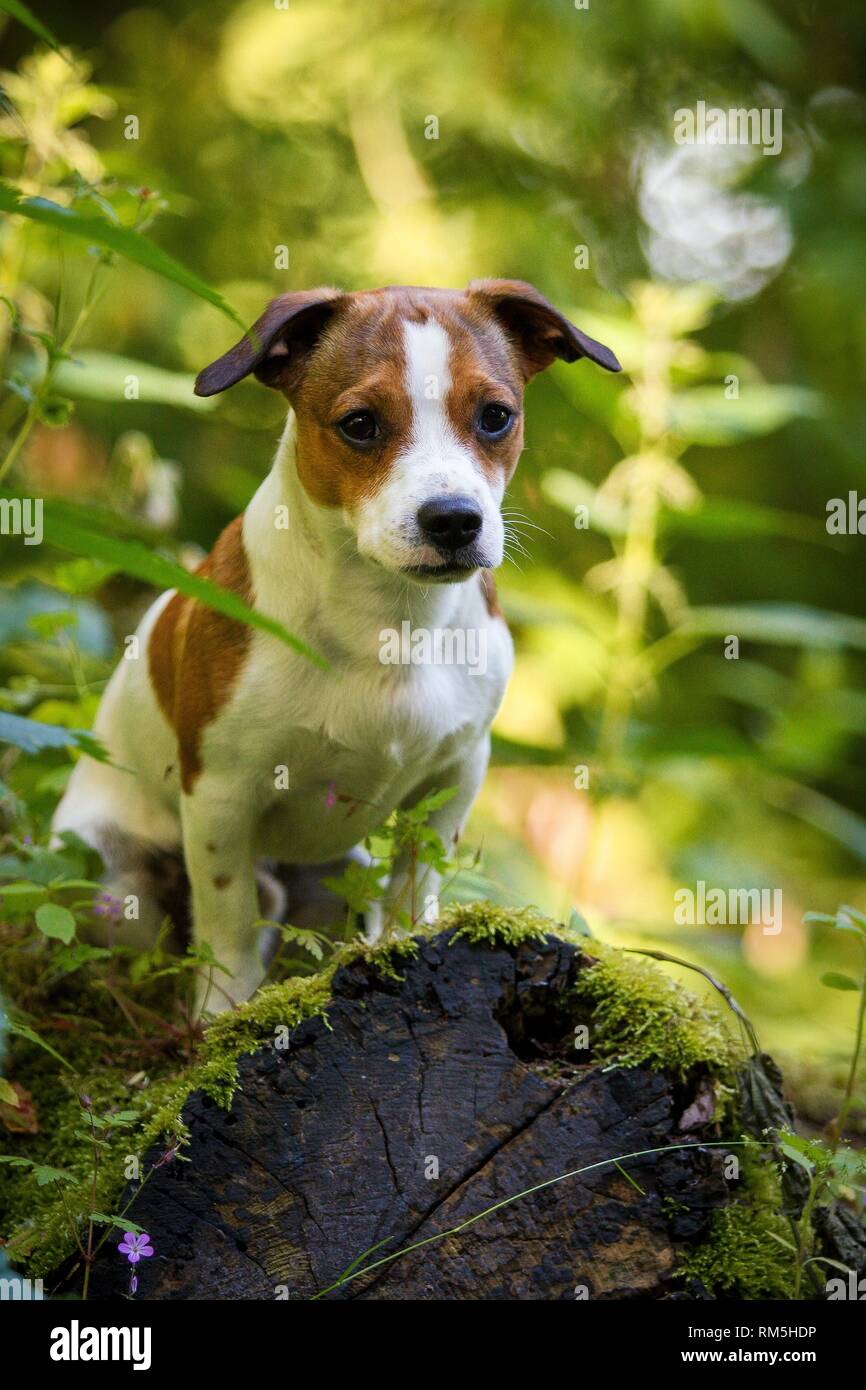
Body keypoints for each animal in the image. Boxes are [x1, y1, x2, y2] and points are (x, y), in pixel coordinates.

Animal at [52, 279, 617, 1011]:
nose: (454, 520)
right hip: (111, 886)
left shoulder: (453, 777)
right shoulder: (221, 796)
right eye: (360, 424)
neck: (390, 622)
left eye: (496, 416)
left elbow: (414, 886)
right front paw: (220, 1014)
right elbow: (228, 921)